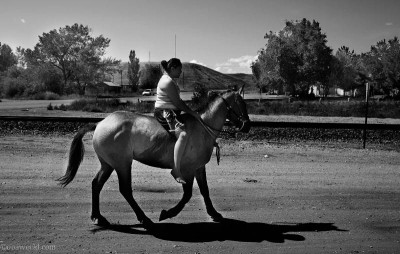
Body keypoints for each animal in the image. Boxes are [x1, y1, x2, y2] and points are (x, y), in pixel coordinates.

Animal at [57, 87, 250, 228]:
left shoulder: (198, 167)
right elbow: (187, 194)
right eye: (241, 104)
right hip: (122, 164)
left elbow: (205, 191)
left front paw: (214, 214)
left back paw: (97, 217)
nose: (247, 125)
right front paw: (168, 213)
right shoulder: (187, 169)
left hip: (108, 164)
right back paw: (143, 218)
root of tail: (100, 123)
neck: (202, 128)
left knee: (96, 184)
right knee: (125, 190)